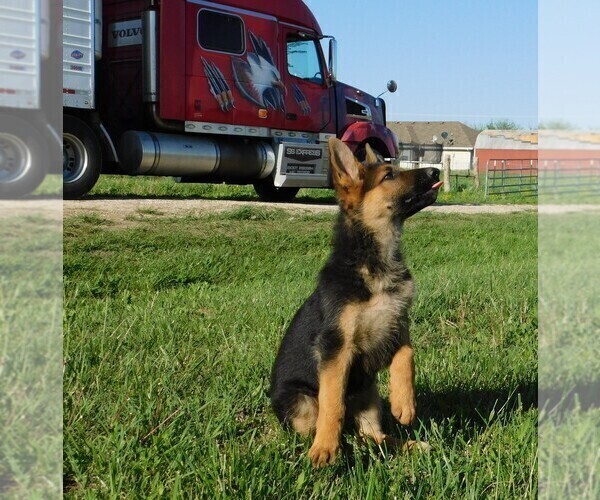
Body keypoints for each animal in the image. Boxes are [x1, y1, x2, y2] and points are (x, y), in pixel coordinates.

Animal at [270, 137, 442, 464]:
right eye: (389, 175)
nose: (435, 170)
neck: (376, 260)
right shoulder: (336, 347)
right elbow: (332, 403)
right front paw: (325, 449)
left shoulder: (398, 324)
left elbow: (407, 356)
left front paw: (404, 402)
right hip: (301, 401)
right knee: (326, 422)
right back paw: (335, 445)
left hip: (369, 393)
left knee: (374, 438)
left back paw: (408, 445)